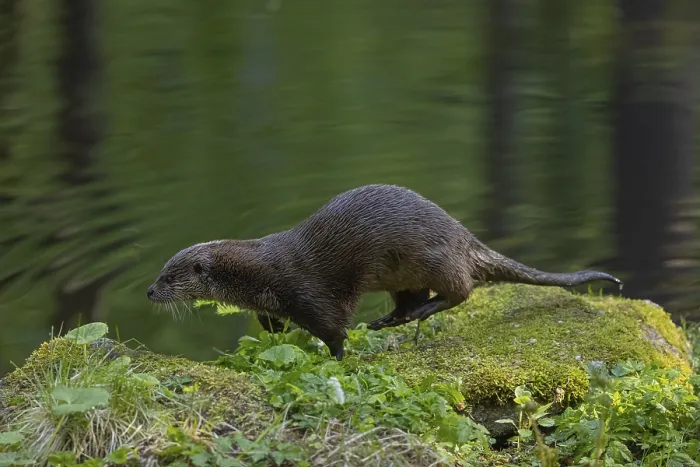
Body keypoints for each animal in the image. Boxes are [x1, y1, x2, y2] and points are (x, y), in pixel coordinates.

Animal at [147, 184, 622, 361]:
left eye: (169, 276)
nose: (150, 292)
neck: (259, 272)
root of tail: (464, 236)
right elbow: (273, 323)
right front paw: (275, 332)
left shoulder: (308, 292)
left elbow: (334, 331)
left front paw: (336, 359)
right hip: (404, 275)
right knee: (416, 298)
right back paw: (390, 320)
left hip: (435, 259)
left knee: (461, 290)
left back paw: (417, 314)